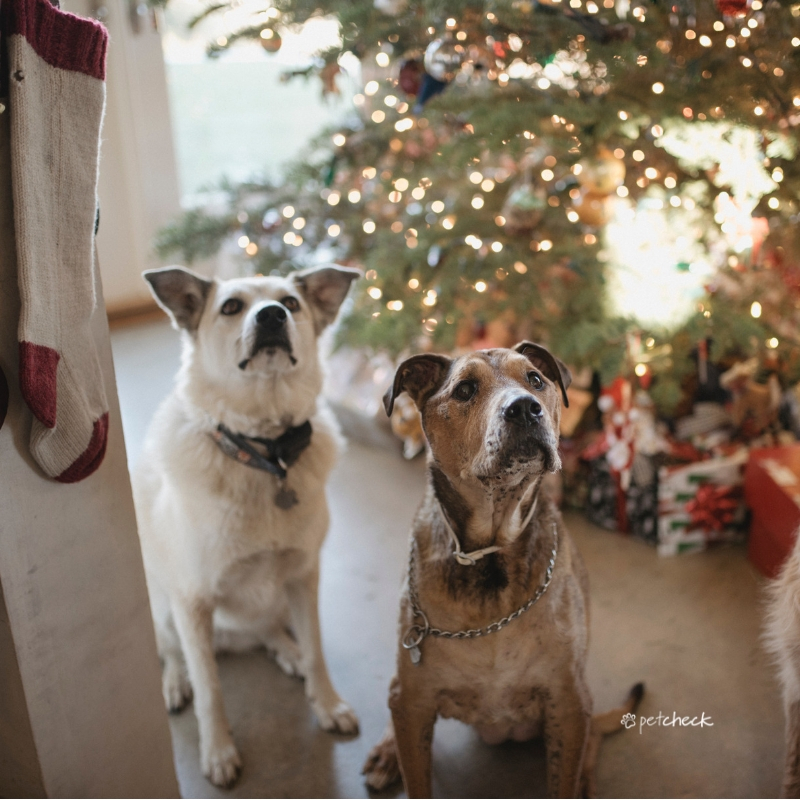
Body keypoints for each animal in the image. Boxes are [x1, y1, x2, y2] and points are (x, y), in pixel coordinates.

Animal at [134, 264, 360, 788]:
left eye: (291, 303)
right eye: (232, 307)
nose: (272, 316)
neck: (266, 453)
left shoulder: (303, 576)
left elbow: (316, 648)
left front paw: (327, 702)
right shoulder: (192, 601)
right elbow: (210, 687)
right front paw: (218, 751)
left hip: (276, 600)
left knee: (269, 630)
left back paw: (286, 652)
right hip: (163, 607)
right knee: (171, 651)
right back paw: (174, 682)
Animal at [362, 344, 644, 800]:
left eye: (535, 379)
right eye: (464, 389)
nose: (525, 409)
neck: (489, 556)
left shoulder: (568, 702)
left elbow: (565, 776)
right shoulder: (415, 700)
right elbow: (417, 775)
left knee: (593, 741)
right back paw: (387, 753)